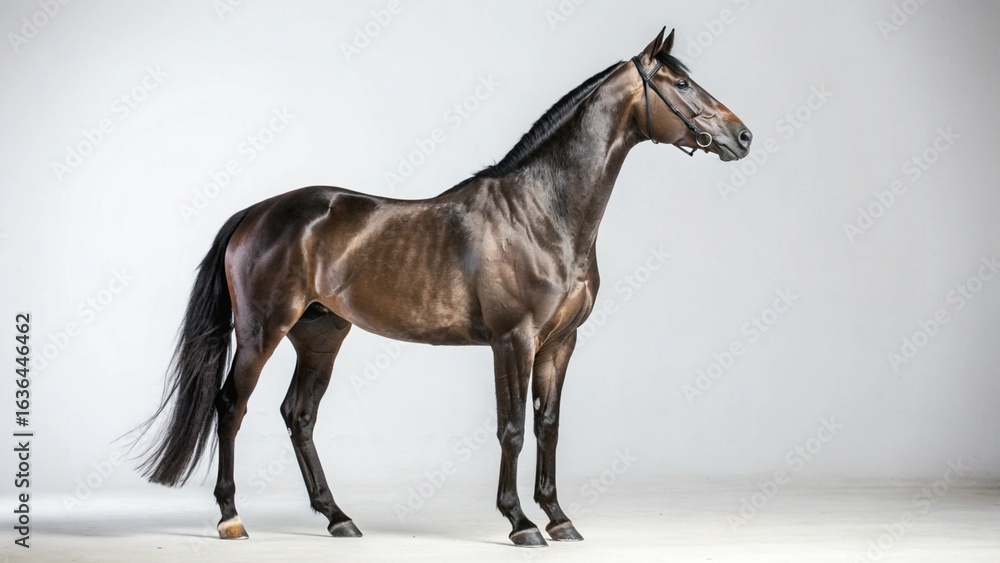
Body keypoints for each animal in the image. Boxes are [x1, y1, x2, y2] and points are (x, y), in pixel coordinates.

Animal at [138, 27, 751, 547]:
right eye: (680, 83)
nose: (742, 136)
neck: (542, 212)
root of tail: (255, 213)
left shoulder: (560, 343)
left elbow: (548, 426)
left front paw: (559, 518)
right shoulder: (513, 340)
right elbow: (512, 428)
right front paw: (520, 522)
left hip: (320, 334)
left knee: (299, 415)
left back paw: (338, 517)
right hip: (262, 331)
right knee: (231, 406)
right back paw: (231, 518)